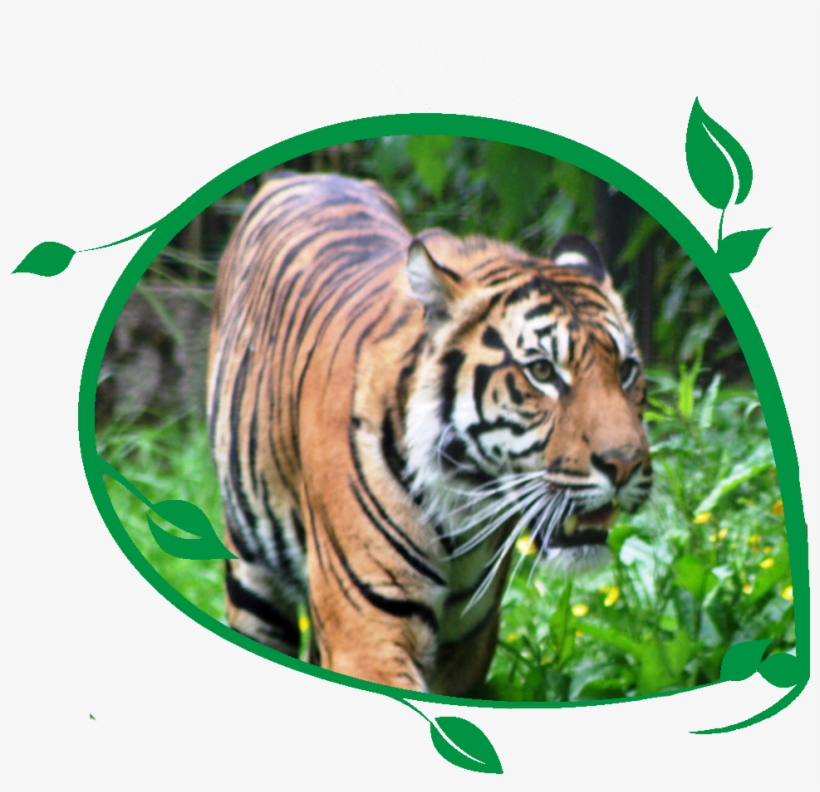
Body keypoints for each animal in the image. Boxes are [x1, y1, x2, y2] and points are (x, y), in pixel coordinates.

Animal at [207, 172, 652, 696]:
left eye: (626, 370)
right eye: (542, 371)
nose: (624, 464)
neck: (466, 505)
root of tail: (303, 174)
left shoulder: (468, 643)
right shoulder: (368, 630)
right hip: (250, 569)